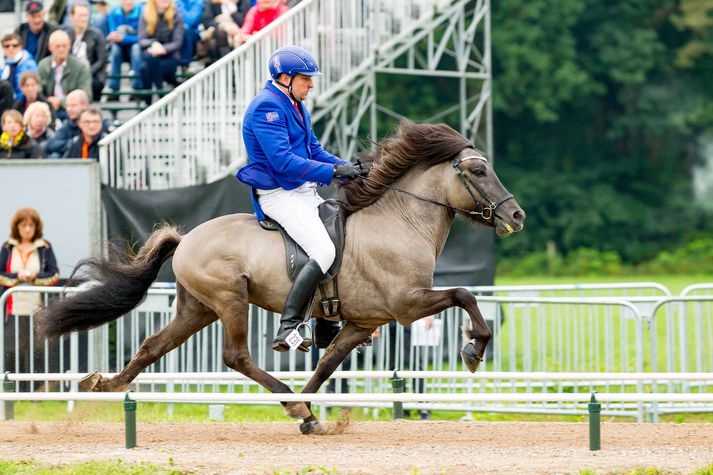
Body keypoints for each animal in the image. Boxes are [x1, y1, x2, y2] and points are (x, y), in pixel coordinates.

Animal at [36, 122, 524, 436]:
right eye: (478, 171)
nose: (516, 216)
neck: (400, 220)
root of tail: (187, 236)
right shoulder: (406, 304)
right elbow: (464, 293)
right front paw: (474, 348)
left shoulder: (363, 322)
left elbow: (327, 366)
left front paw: (308, 411)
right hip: (230, 300)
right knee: (236, 356)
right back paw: (285, 394)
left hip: (197, 310)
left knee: (153, 345)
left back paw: (107, 384)